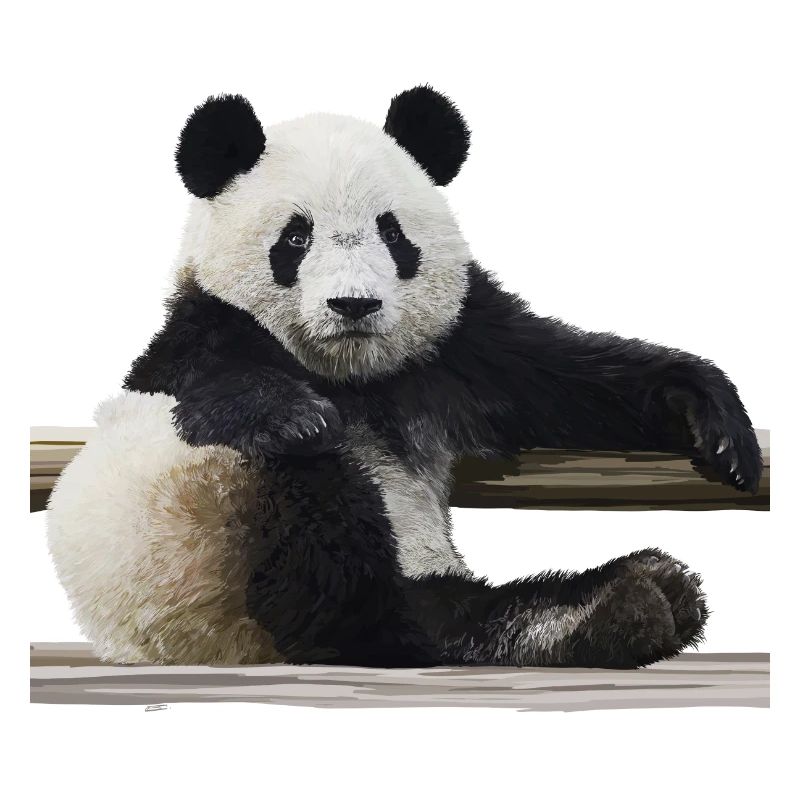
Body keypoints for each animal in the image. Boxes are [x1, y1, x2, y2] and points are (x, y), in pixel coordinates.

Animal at [47, 86, 762, 669]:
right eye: (295, 238)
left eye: (391, 234)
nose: (354, 305)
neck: (353, 377)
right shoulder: (202, 339)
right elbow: (217, 391)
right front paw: (297, 417)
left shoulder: (460, 350)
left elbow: (573, 378)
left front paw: (715, 421)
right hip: (209, 536)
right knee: (338, 572)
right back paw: (601, 609)